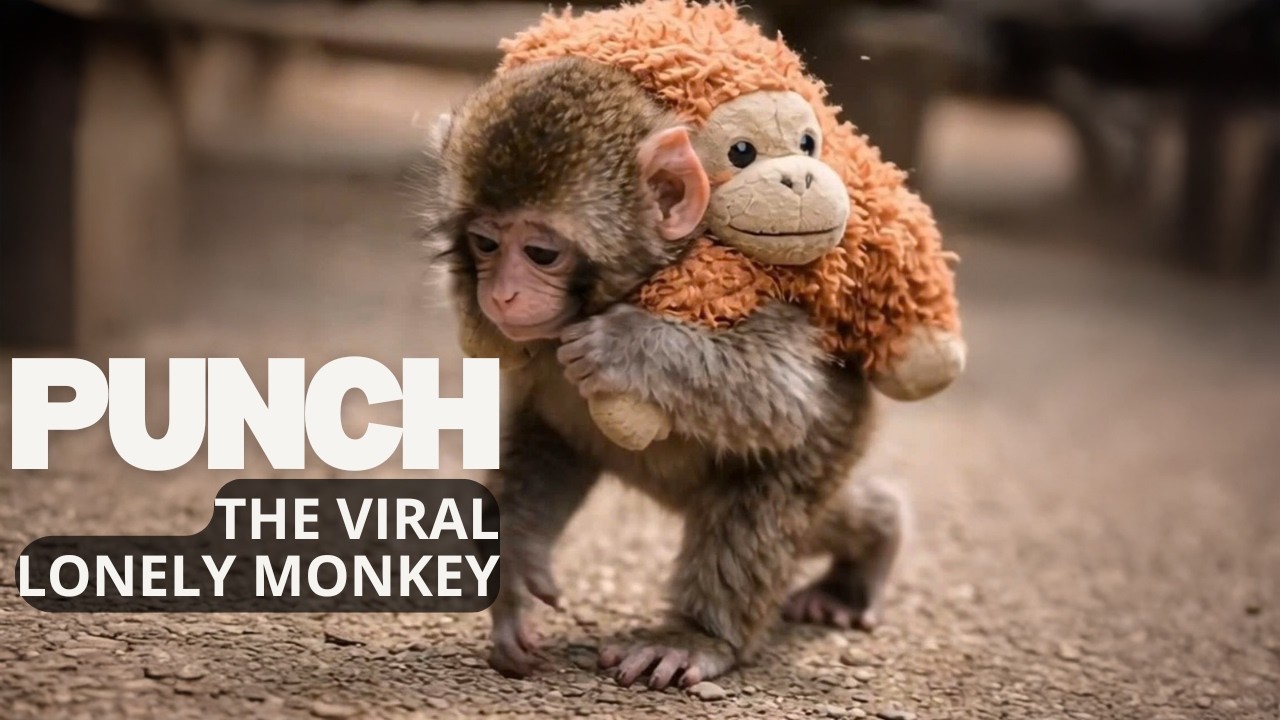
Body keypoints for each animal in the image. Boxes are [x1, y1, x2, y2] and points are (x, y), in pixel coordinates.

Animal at [418, 56, 906, 690]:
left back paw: (704, 636)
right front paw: (516, 572)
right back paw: (867, 550)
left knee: (775, 493)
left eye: (541, 253)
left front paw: (625, 346)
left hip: (842, 429)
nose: (502, 295)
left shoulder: (742, 288)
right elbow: (550, 440)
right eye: (484, 243)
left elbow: (784, 393)